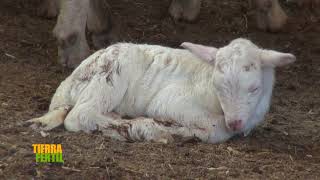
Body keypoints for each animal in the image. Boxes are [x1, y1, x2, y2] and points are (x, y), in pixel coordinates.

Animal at [26, 38, 296, 143]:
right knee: (79, 115)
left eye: (254, 88)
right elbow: (214, 128)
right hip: (110, 75)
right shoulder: (170, 101)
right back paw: (138, 127)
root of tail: (67, 84)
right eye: (218, 86)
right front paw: (164, 128)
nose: (235, 122)